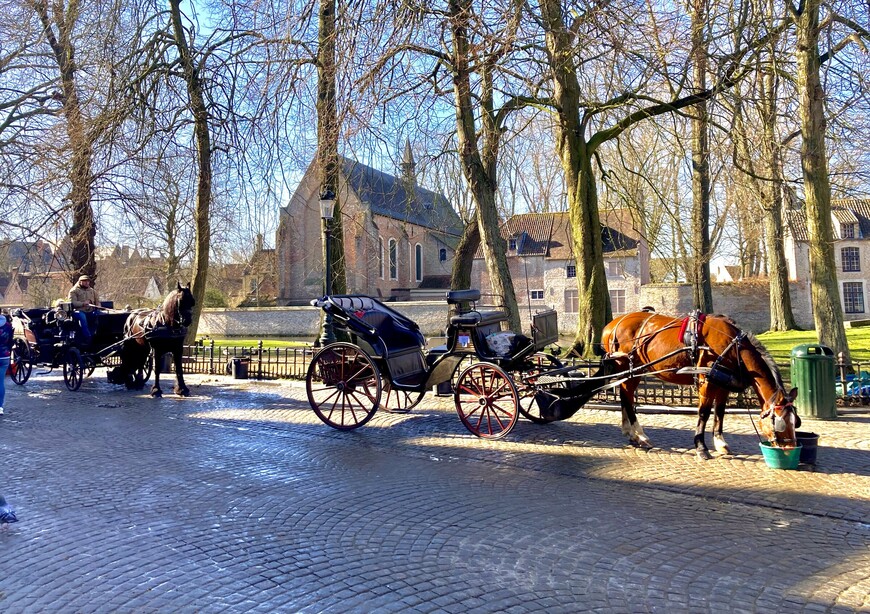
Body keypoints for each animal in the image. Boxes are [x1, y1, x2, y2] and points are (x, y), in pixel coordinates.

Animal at [604, 312, 800, 462]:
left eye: (795, 421)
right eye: (780, 422)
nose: (791, 448)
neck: (732, 347)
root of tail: (613, 324)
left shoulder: (723, 385)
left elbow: (719, 413)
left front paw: (721, 443)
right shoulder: (707, 382)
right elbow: (704, 413)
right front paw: (701, 447)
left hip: (636, 371)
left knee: (626, 396)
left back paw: (631, 433)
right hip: (629, 368)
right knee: (627, 396)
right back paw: (640, 435)